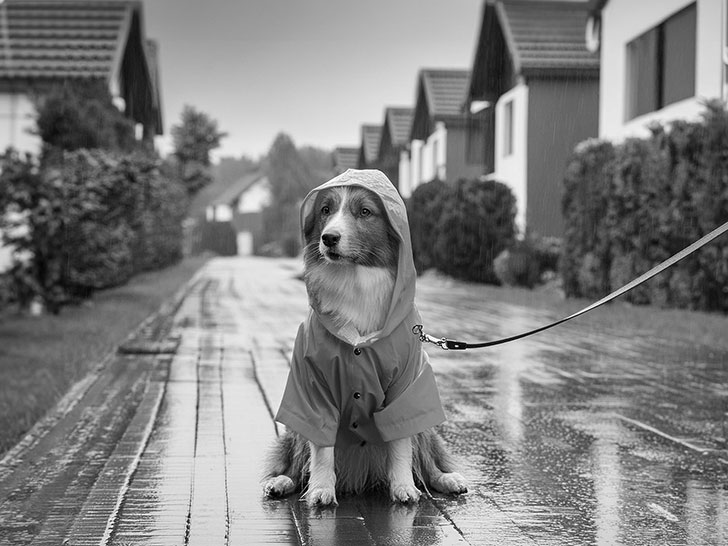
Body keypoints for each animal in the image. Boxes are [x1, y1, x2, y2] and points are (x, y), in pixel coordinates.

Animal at [264, 168, 470, 504]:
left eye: (364, 212)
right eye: (326, 210)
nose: (329, 238)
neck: (355, 282)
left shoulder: (406, 389)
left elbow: (401, 445)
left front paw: (403, 487)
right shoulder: (311, 388)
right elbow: (321, 449)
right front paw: (321, 490)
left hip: (425, 424)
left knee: (428, 460)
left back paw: (447, 479)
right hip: (296, 426)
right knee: (294, 461)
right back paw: (281, 482)